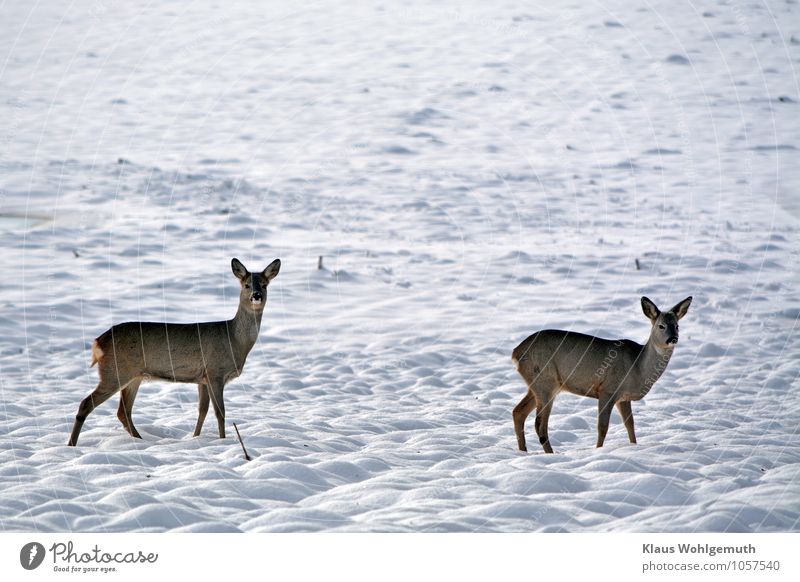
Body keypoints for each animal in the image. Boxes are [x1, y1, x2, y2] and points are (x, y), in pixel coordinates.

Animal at [67, 258, 282, 448]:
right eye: (246, 285)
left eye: (265, 285)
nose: (256, 295)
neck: (234, 339)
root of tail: (98, 342)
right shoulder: (215, 372)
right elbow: (220, 412)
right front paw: (223, 441)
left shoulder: (202, 378)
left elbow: (202, 410)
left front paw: (196, 438)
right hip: (115, 372)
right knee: (87, 403)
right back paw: (72, 444)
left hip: (133, 376)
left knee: (123, 411)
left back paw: (140, 440)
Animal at [516, 296, 692, 456]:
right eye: (661, 326)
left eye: (677, 326)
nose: (673, 339)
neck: (638, 366)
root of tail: (516, 352)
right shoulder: (607, 389)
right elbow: (603, 427)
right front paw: (598, 450)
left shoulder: (623, 397)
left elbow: (630, 424)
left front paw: (633, 447)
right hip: (545, 381)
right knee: (539, 424)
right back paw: (550, 454)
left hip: (539, 385)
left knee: (518, 412)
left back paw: (523, 451)